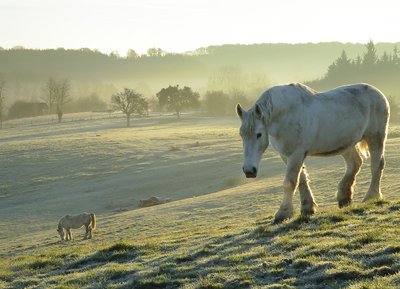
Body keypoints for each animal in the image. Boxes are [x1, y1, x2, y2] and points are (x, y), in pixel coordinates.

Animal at [236, 83, 390, 223]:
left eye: (259, 134)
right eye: (241, 134)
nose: (249, 170)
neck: (286, 115)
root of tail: (378, 93)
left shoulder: (296, 154)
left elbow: (290, 183)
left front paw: (283, 213)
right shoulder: (287, 155)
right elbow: (301, 180)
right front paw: (307, 208)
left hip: (375, 138)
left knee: (376, 166)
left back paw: (371, 197)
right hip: (346, 144)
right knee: (355, 163)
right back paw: (344, 197)